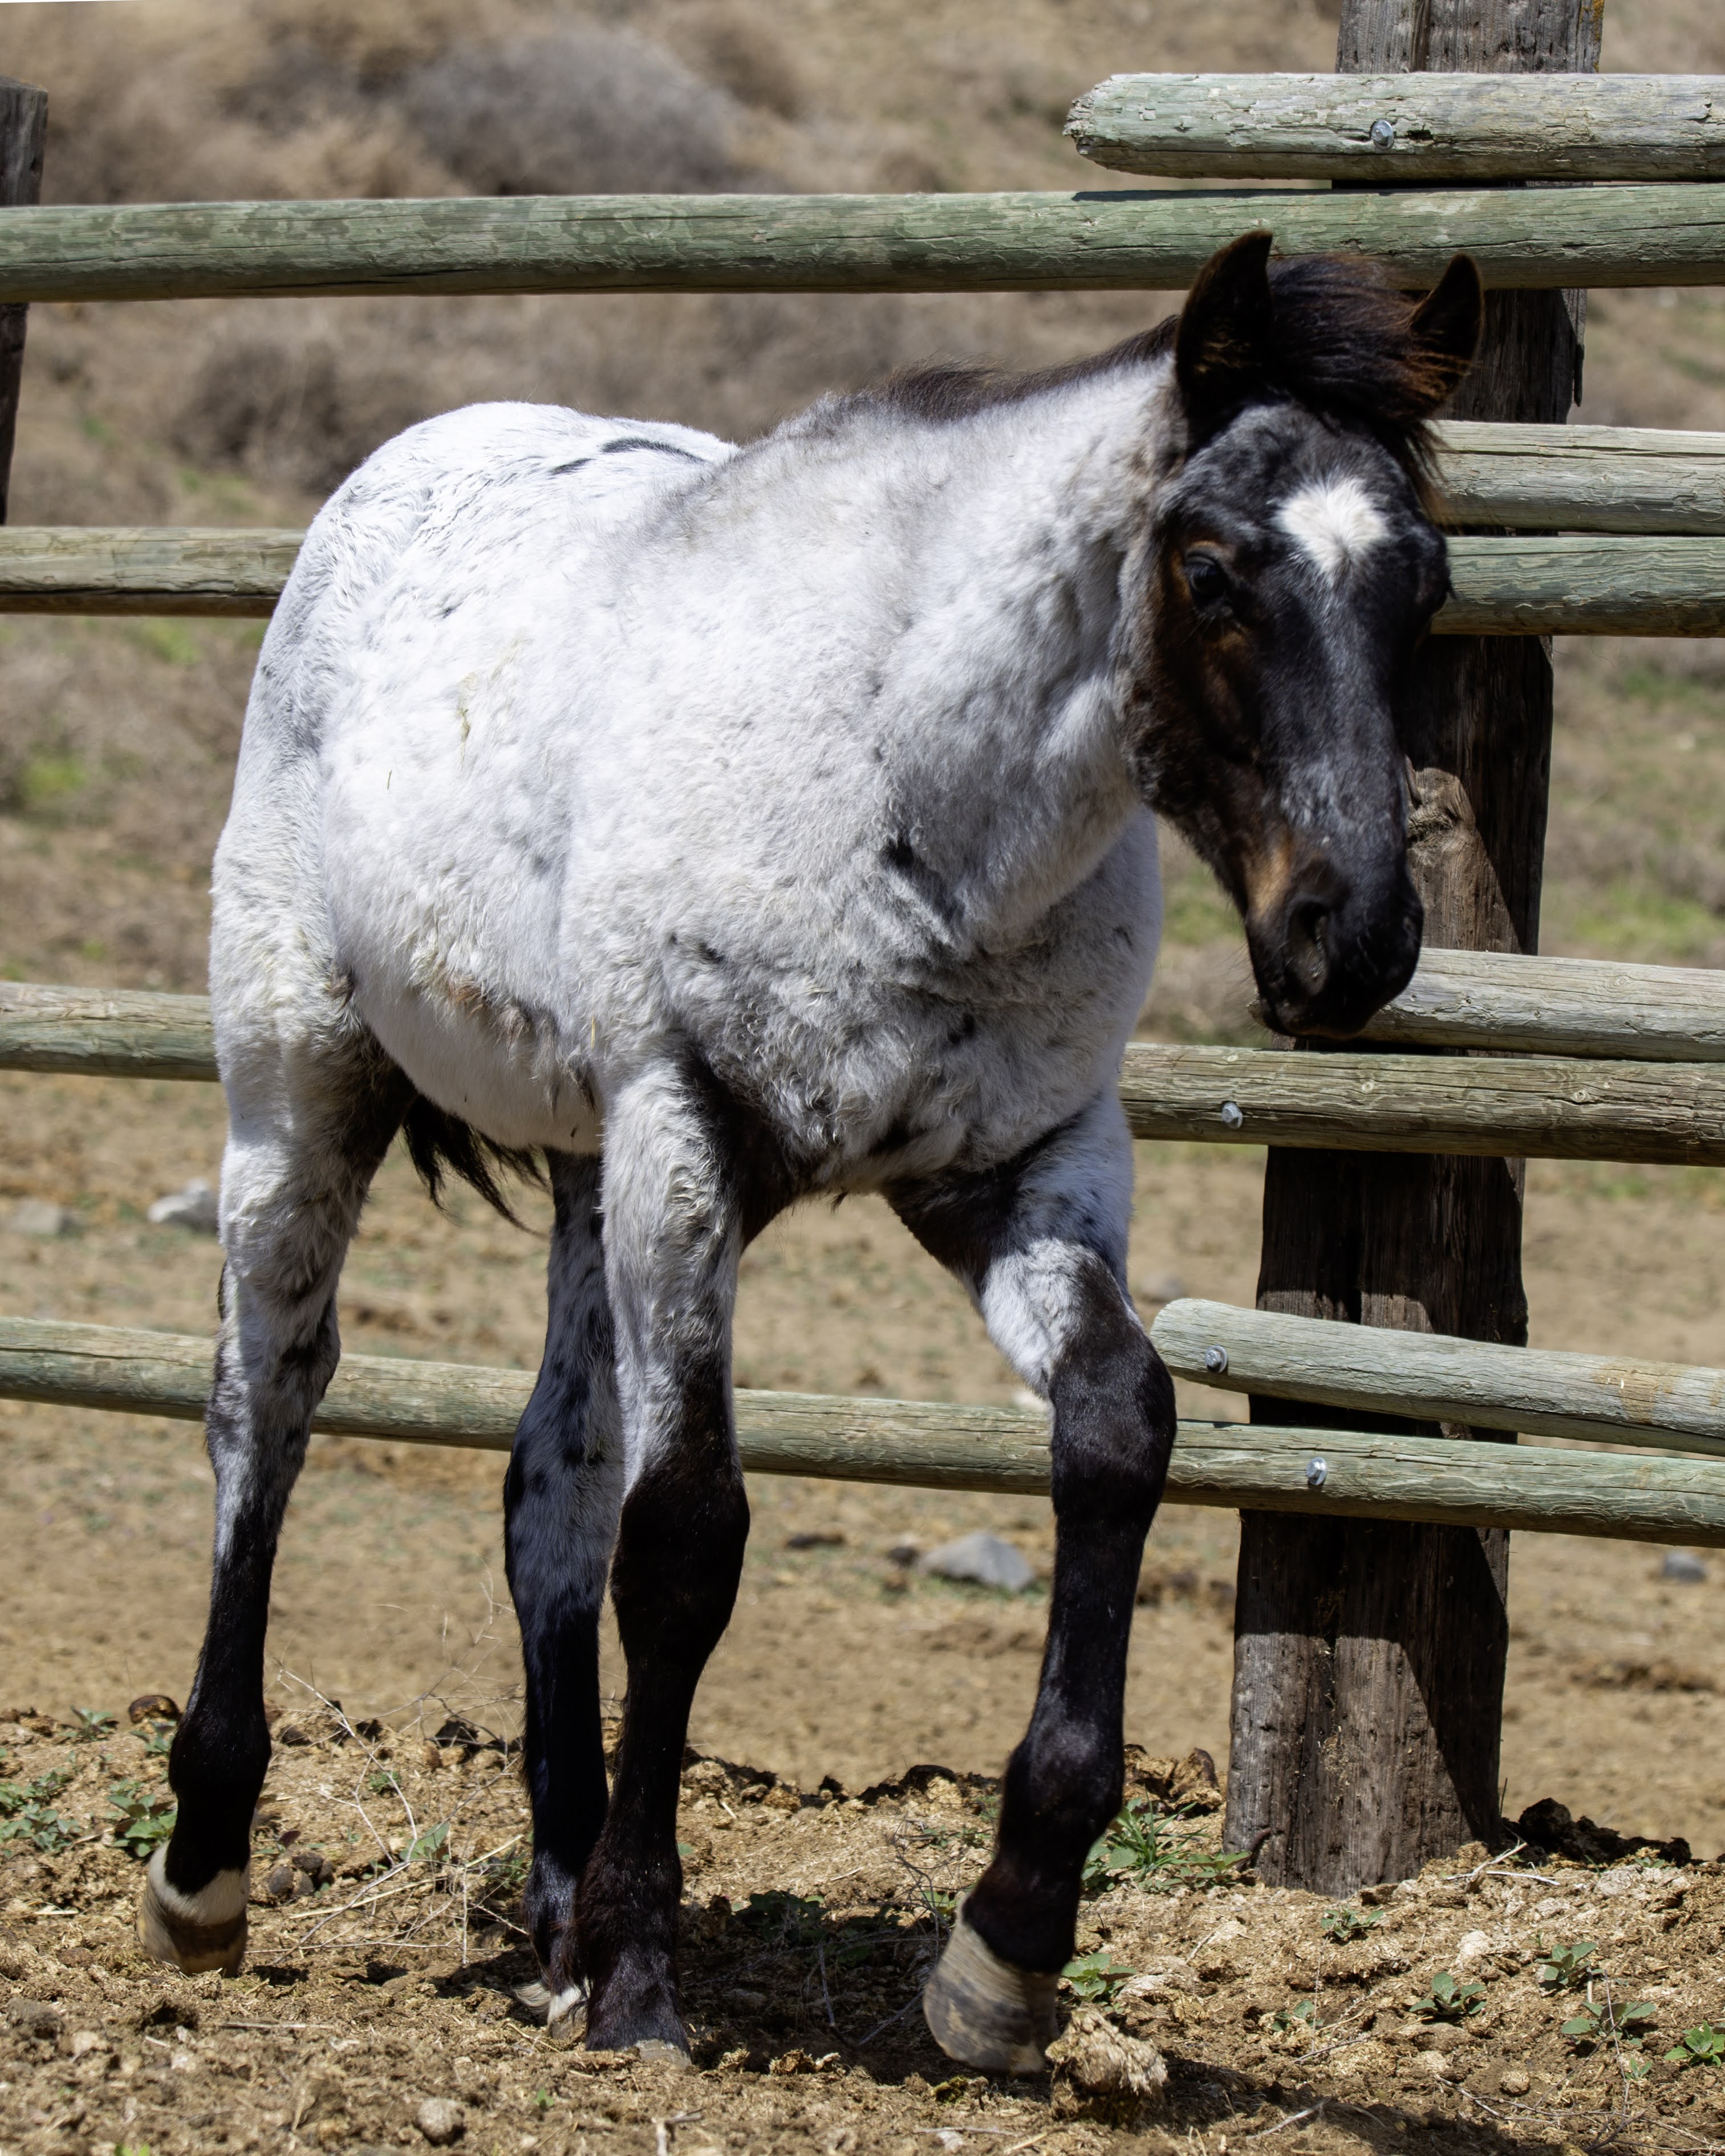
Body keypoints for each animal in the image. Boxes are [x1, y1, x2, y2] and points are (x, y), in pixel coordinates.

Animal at [137, 230, 1480, 2075]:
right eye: (1212, 572)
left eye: (1423, 587)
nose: (1349, 942)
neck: (906, 787)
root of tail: (405, 463)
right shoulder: (691, 1132)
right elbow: (688, 1537)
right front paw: (645, 1974)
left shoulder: (1018, 1165)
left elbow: (1119, 1428)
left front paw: (1006, 1950)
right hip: (303, 1090)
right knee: (263, 1407)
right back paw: (209, 1872)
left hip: (584, 1172)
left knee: (550, 1483)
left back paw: (553, 1912)